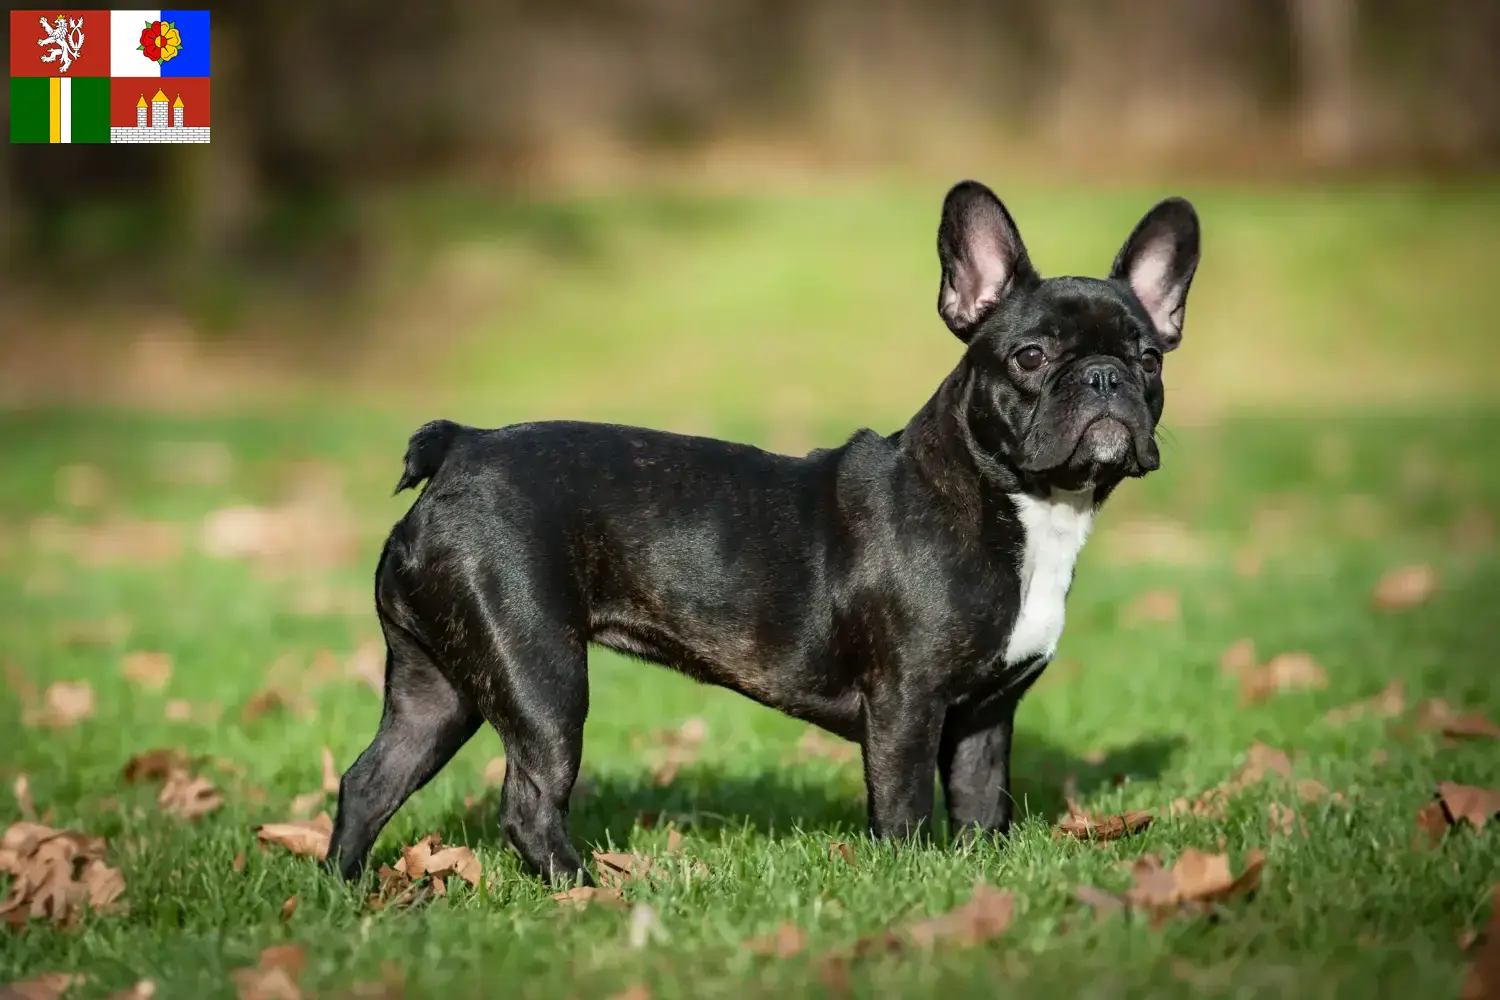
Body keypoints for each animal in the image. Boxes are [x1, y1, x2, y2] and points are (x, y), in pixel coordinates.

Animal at [325, 179, 1194, 881]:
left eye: (1151, 359)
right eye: (1032, 355)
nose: (1106, 378)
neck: (1019, 503)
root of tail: (461, 449)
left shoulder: (985, 717)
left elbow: (982, 807)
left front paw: (979, 878)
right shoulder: (907, 706)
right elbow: (905, 809)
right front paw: (913, 882)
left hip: (438, 685)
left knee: (370, 779)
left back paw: (345, 890)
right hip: (541, 677)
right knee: (530, 804)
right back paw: (586, 892)